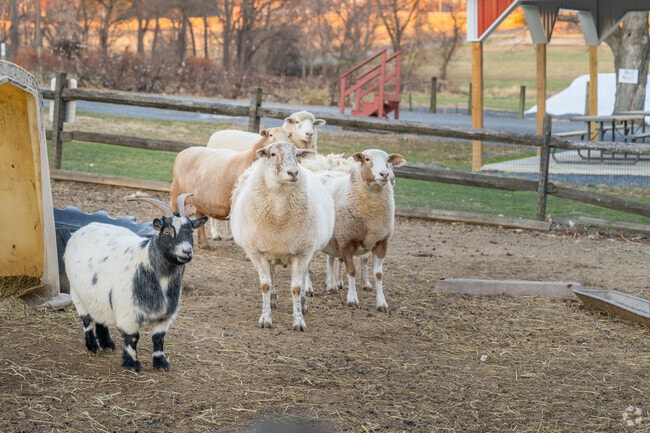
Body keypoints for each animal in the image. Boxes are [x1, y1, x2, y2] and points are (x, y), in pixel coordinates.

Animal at [63, 194, 208, 372]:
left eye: (191, 231)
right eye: (167, 231)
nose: (186, 251)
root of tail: (84, 228)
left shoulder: (165, 315)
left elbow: (158, 338)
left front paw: (161, 363)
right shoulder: (128, 313)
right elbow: (132, 338)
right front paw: (131, 363)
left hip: (98, 295)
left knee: (101, 318)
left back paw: (107, 344)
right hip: (76, 293)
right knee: (87, 320)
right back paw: (93, 346)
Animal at [230, 141, 335, 331]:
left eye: (297, 155)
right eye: (272, 154)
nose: (293, 173)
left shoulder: (302, 252)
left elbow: (296, 287)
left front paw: (299, 320)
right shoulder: (257, 252)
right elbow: (265, 285)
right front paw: (266, 318)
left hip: (308, 251)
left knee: (304, 276)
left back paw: (303, 302)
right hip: (269, 250)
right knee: (272, 275)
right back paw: (272, 300)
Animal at [319, 149, 406, 312]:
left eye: (388, 160)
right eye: (367, 159)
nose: (385, 174)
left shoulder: (381, 242)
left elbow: (378, 274)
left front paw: (382, 303)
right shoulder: (345, 240)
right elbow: (351, 270)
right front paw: (352, 299)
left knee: (330, 259)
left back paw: (331, 285)